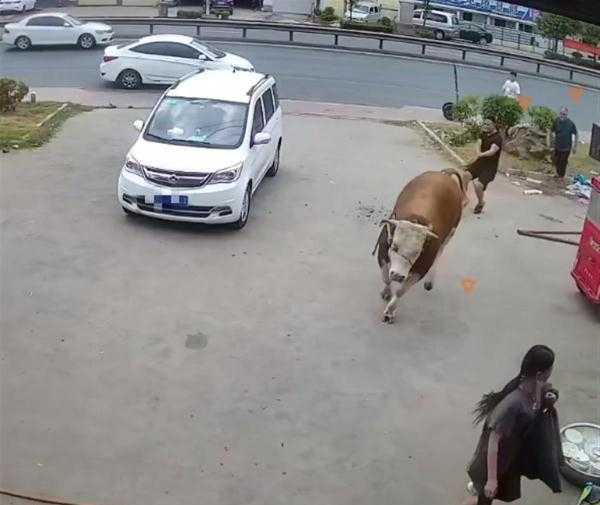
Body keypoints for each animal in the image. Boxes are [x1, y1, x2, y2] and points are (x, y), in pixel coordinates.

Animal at [372, 166, 472, 322]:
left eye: (417, 252)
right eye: (394, 247)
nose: (398, 276)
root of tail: (444, 175)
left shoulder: (420, 271)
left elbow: (400, 291)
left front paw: (390, 311)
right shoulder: (382, 256)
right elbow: (386, 278)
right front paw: (386, 292)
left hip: (450, 234)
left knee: (440, 252)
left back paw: (429, 282)